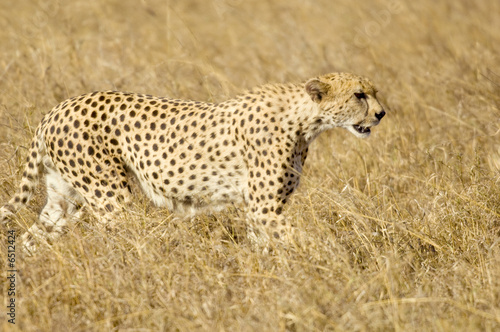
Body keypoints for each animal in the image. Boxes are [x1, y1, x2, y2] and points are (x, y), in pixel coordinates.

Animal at [0, 73, 386, 249]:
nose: (382, 113)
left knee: (33, 235)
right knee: (119, 236)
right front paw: (330, 261)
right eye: (359, 95)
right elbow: (299, 239)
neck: (306, 120)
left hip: (65, 198)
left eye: (374, 92)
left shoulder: (260, 209)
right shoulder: (264, 207)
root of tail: (57, 108)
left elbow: (265, 245)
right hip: (109, 196)